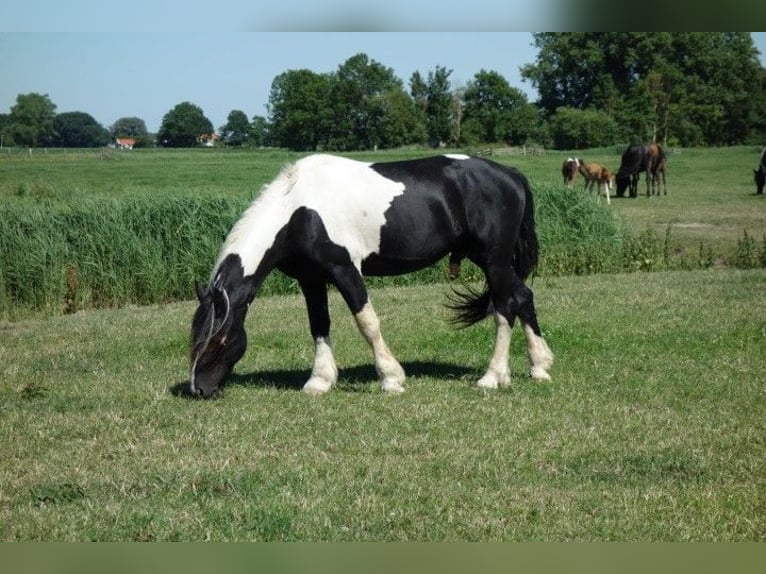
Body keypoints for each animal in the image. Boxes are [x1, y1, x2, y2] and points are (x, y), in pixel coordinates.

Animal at [189, 156, 556, 400]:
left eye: (219, 340)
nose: (198, 389)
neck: (299, 211)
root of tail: (510, 174)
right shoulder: (312, 279)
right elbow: (318, 325)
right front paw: (319, 381)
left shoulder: (345, 270)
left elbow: (367, 322)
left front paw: (391, 378)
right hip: (492, 261)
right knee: (522, 297)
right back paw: (539, 367)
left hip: (494, 260)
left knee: (505, 306)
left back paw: (492, 377)